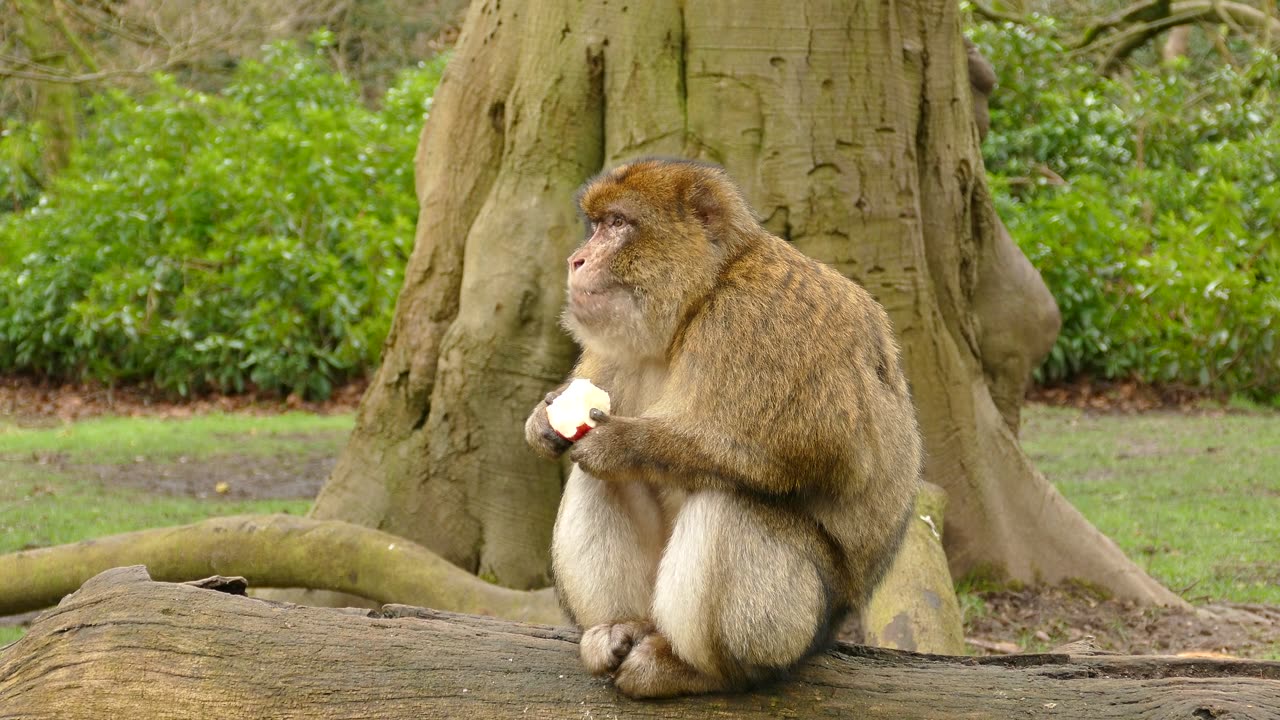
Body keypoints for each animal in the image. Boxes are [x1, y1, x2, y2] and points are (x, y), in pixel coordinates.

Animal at [522, 158, 921, 696]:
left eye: (619, 224)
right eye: (598, 224)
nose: (577, 260)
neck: (699, 299)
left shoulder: (758, 320)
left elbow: (813, 450)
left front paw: (622, 442)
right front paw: (543, 419)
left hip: (798, 627)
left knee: (729, 500)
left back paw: (697, 669)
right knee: (601, 483)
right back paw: (621, 626)